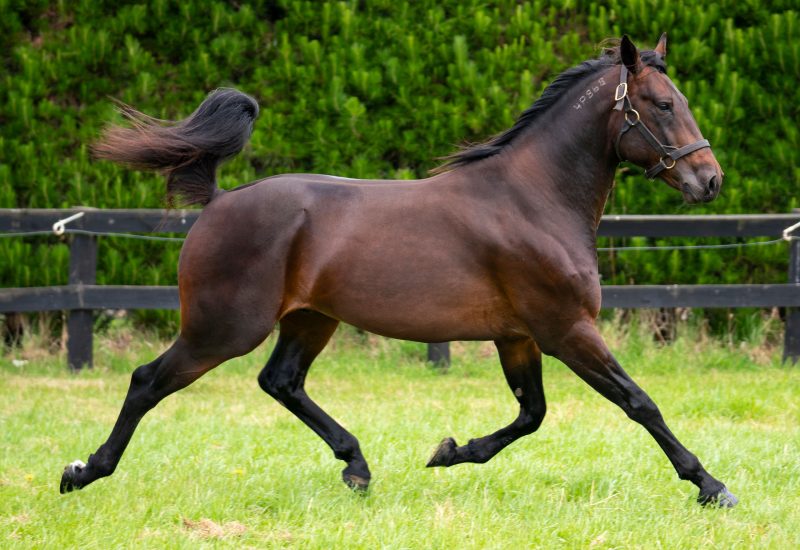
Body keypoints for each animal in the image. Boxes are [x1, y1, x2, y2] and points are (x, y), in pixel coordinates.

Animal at [60, 34, 737, 507]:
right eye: (661, 104)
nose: (709, 180)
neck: (534, 200)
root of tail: (220, 201)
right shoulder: (566, 329)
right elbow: (638, 402)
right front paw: (711, 485)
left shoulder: (518, 336)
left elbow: (531, 414)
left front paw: (449, 452)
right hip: (222, 327)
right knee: (148, 381)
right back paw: (82, 471)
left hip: (310, 319)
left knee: (281, 381)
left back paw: (356, 467)